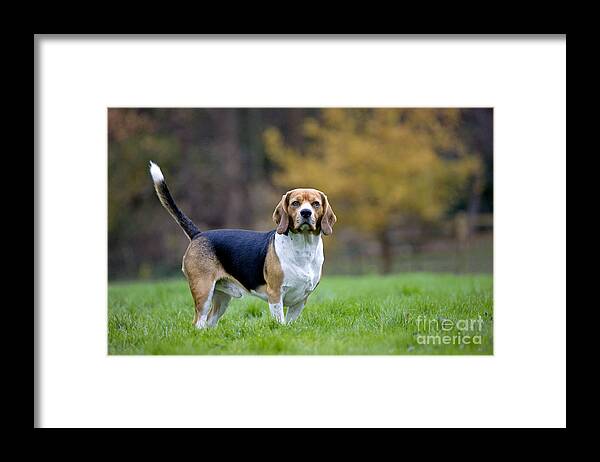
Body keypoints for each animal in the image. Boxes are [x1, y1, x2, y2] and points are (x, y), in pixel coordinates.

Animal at [149, 161, 336, 326]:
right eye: (295, 203)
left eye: (316, 204)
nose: (306, 213)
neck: (303, 248)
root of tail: (199, 234)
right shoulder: (275, 294)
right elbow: (280, 321)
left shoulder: (301, 299)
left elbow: (289, 322)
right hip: (203, 290)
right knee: (198, 322)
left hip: (221, 297)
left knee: (209, 323)